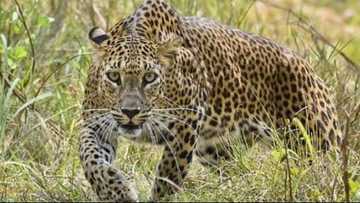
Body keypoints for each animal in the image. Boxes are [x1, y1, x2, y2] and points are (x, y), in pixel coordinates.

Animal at [78, 0, 340, 201]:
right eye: (114, 76)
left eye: (149, 77)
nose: (130, 112)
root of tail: (310, 68)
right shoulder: (95, 124)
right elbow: (90, 160)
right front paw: (117, 192)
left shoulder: (185, 125)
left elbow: (168, 175)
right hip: (216, 150)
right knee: (237, 171)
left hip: (316, 141)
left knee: (328, 169)